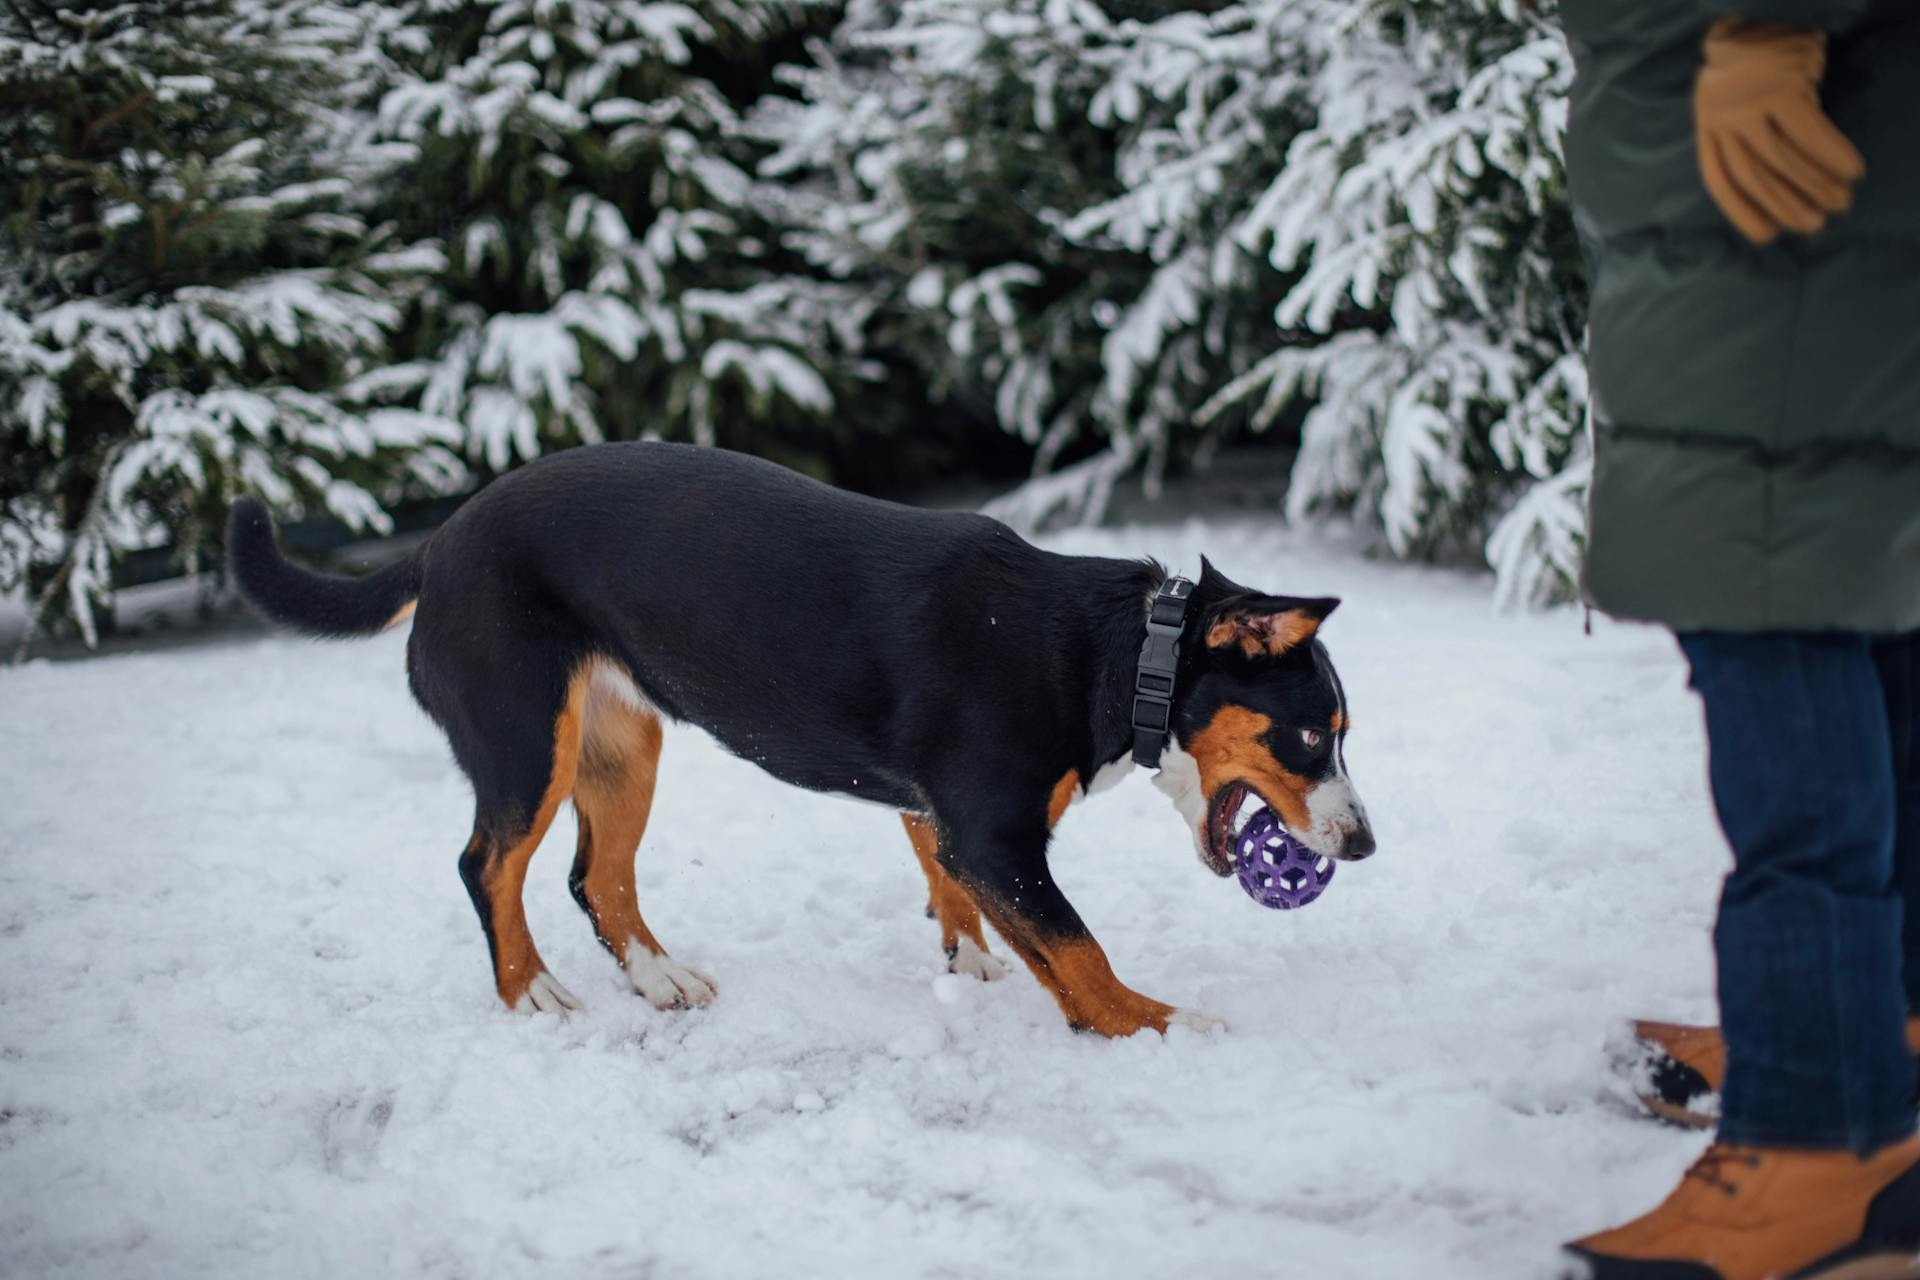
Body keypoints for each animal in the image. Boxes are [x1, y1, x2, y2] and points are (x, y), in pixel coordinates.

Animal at [232, 445, 1374, 1036]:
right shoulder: (996, 834)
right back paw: (532, 991)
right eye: (1311, 732)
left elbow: (970, 900)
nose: (1363, 843)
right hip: (525, 740)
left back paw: (659, 980)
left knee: (597, 879)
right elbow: (1078, 947)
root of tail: (439, 539)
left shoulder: (943, 818)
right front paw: (1155, 1022)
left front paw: (970, 958)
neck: (1118, 651)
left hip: (620, 746)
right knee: (488, 865)